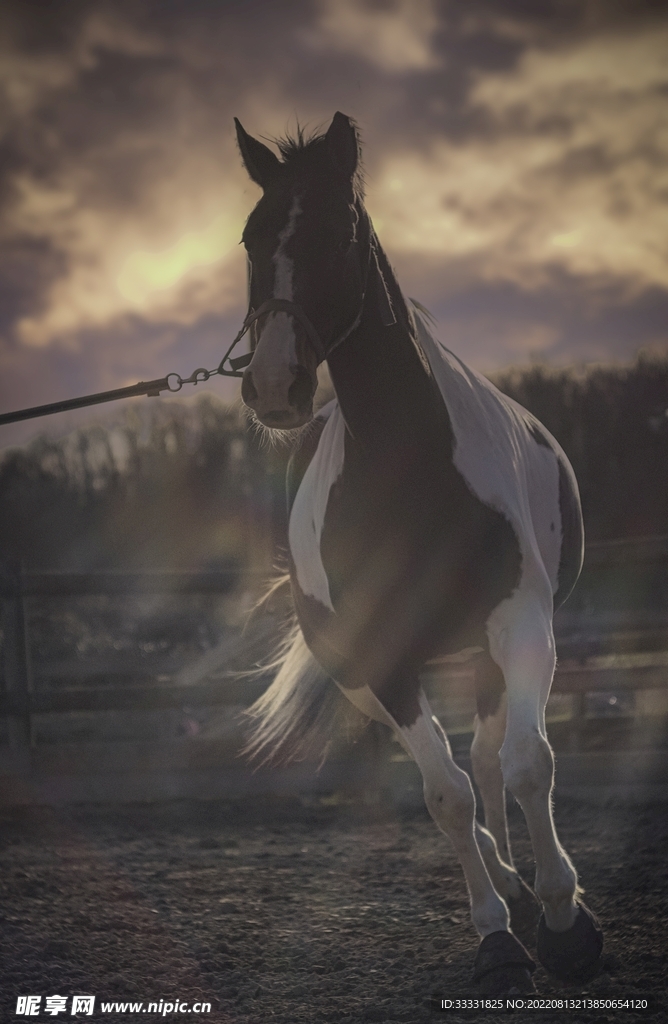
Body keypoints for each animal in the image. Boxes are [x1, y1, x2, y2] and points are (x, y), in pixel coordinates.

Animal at [234, 111, 603, 995]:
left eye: (338, 235)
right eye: (251, 241)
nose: (274, 386)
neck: (412, 469)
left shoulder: (521, 623)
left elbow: (528, 763)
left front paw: (567, 921)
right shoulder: (387, 659)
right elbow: (445, 797)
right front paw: (498, 937)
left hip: (489, 650)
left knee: (494, 757)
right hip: (363, 678)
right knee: (463, 771)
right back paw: (508, 886)